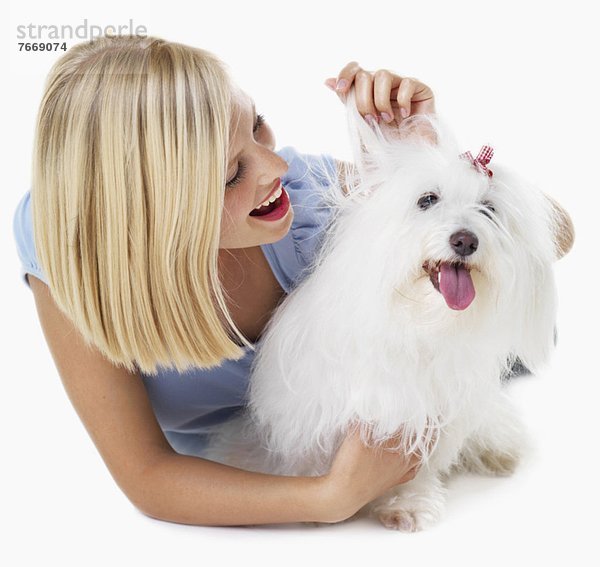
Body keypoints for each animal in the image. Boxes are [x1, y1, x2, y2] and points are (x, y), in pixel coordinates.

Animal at [204, 90, 560, 532]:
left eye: (488, 210)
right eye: (427, 200)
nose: (465, 240)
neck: (418, 322)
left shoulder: (430, 415)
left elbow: (418, 466)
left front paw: (408, 505)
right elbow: (309, 460)